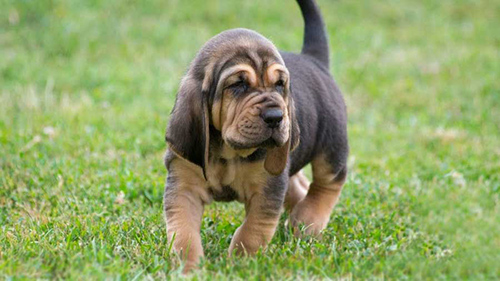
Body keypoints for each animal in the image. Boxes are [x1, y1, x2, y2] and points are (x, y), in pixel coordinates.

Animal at [163, 0, 348, 272]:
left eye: (280, 84)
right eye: (238, 85)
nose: (275, 116)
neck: (229, 152)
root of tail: (314, 60)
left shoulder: (267, 189)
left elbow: (252, 231)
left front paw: (240, 263)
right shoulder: (184, 185)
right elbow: (183, 231)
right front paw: (188, 267)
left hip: (331, 147)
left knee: (328, 183)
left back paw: (308, 219)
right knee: (300, 185)